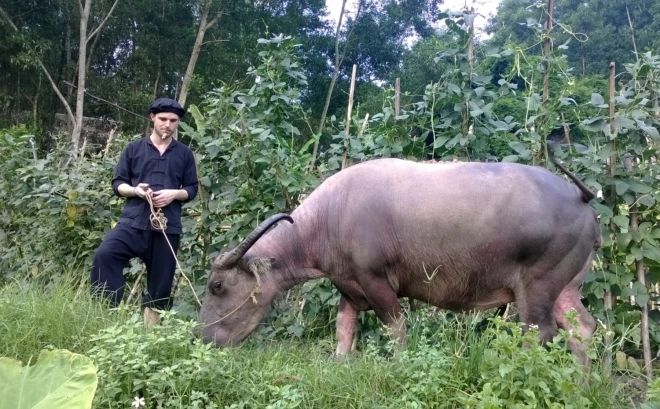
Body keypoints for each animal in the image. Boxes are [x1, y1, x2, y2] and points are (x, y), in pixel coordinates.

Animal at [199, 157, 600, 364]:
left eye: (216, 285)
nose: (200, 338)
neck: (328, 218)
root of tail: (580, 197)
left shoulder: (377, 284)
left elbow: (396, 332)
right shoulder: (349, 289)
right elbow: (343, 333)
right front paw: (339, 365)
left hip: (537, 288)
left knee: (539, 334)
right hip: (565, 286)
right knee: (582, 330)